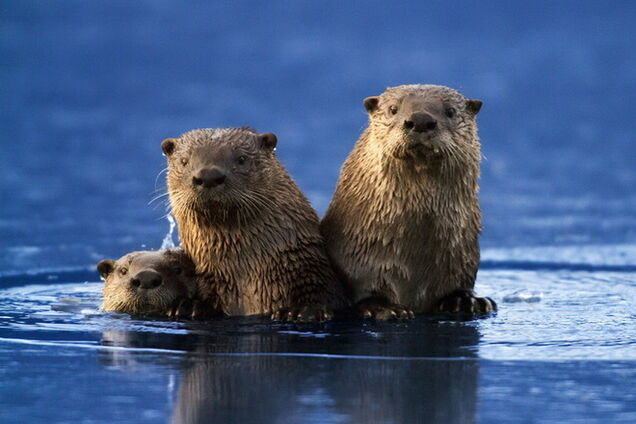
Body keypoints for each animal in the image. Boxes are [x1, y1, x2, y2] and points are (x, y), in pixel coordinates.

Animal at [161, 126, 346, 322]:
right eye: (184, 161)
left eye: (242, 159)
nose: (208, 176)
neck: (245, 275)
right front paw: (190, 306)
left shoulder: (311, 267)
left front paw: (304, 310)